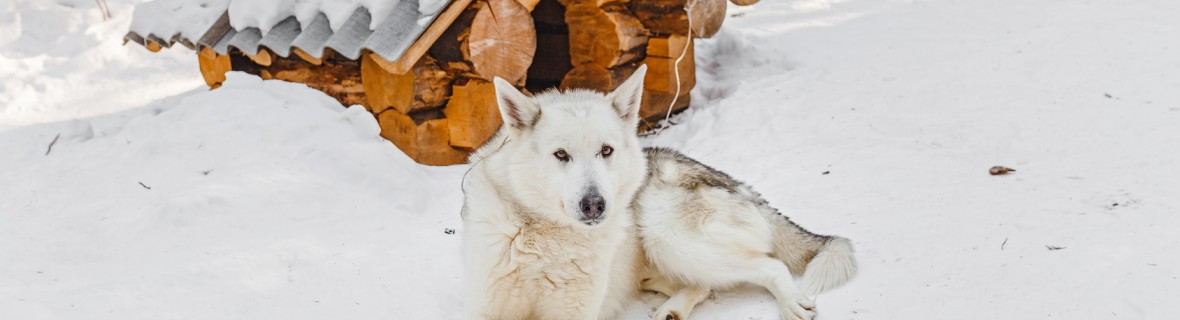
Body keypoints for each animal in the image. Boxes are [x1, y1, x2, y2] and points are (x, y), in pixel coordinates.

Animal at [455, 65, 854, 320]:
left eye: (606, 150)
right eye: (561, 155)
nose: (595, 204)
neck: (545, 237)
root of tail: (738, 185)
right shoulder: (487, 309)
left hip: (666, 235)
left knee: (769, 265)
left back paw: (790, 303)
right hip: (655, 262)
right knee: (702, 286)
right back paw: (672, 311)